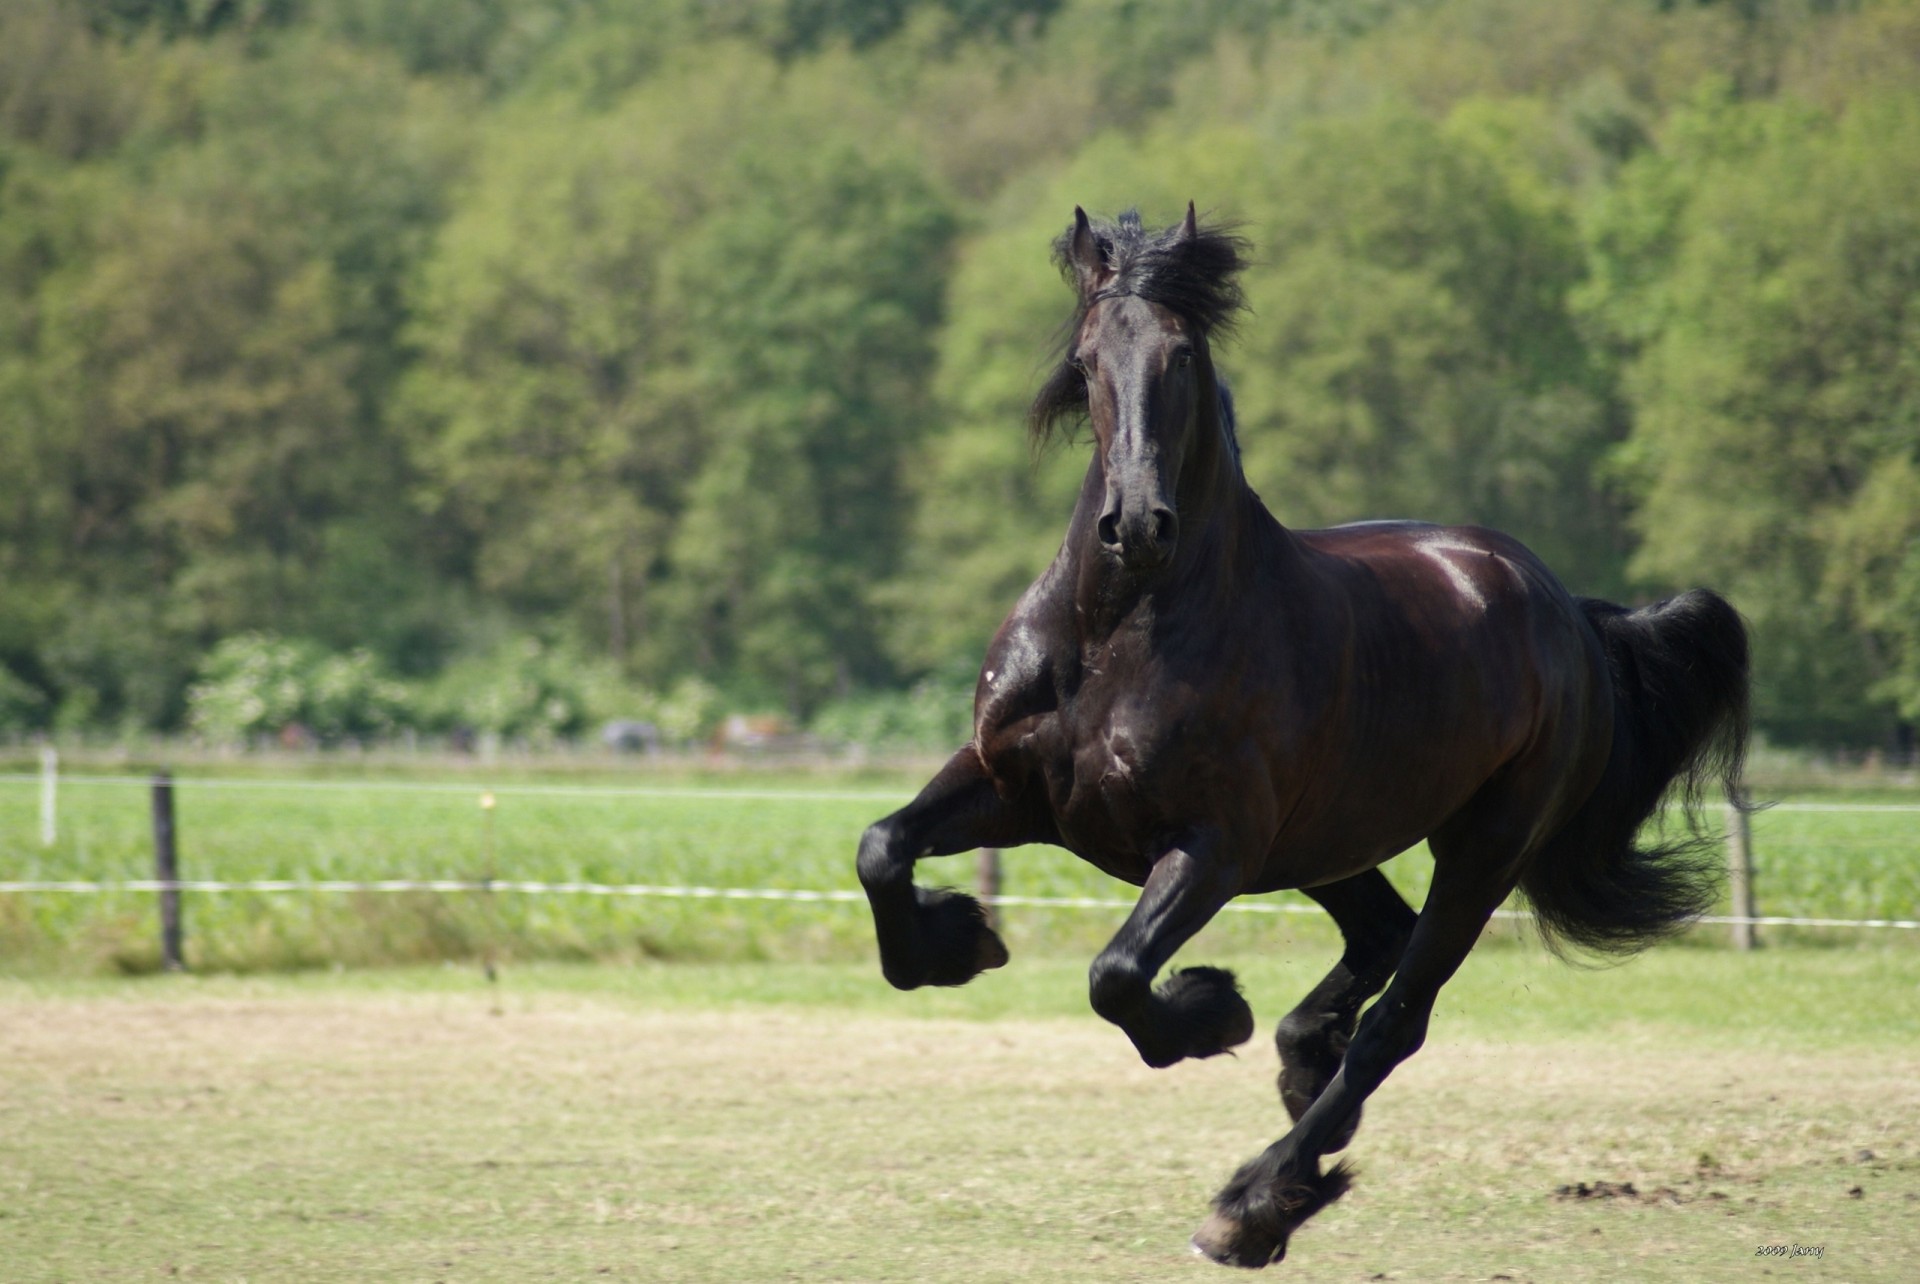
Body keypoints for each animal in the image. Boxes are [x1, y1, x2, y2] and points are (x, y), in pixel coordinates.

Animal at [856, 205, 1749, 1267]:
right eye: (1086, 360)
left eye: (1184, 354)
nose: (1137, 526)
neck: (1121, 631)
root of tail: (1567, 610)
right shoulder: (1016, 789)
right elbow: (882, 848)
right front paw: (957, 940)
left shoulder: (1211, 848)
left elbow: (1117, 976)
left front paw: (1208, 1010)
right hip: (1328, 840)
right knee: (1380, 938)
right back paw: (1299, 1067)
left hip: (1481, 848)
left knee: (1397, 1019)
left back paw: (1257, 1199)